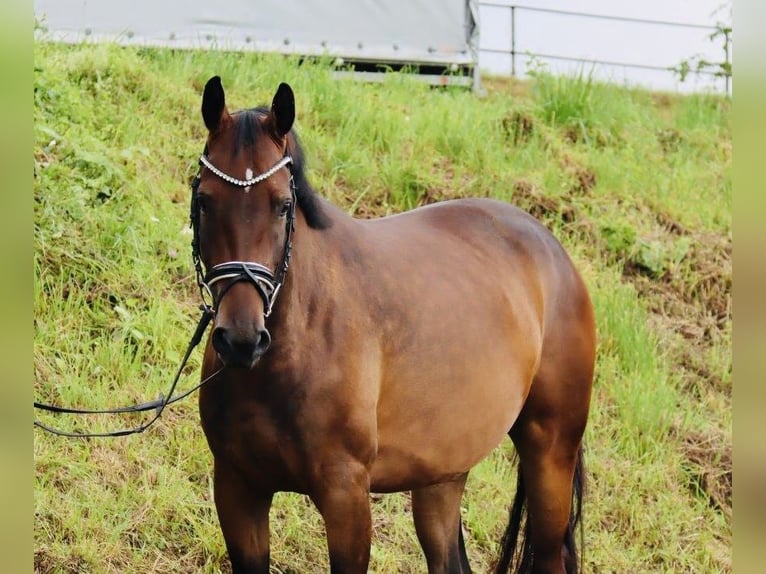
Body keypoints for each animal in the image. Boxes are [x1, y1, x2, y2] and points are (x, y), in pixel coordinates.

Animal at [195, 77, 596, 574]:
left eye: (283, 205)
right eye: (204, 201)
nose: (241, 339)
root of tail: (554, 254)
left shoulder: (346, 496)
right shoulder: (238, 489)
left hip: (550, 455)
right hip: (442, 474)